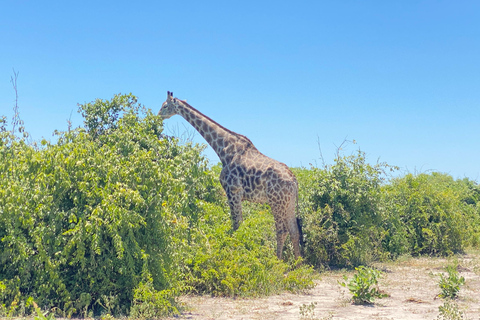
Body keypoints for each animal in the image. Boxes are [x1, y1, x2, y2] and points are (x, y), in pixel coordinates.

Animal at [159, 91, 302, 258]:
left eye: (165, 106)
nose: (158, 115)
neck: (223, 150)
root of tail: (294, 181)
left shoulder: (232, 191)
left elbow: (236, 225)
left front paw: (236, 251)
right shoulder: (236, 194)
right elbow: (240, 224)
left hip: (276, 202)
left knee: (282, 230)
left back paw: (278, 260)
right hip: (288, 203)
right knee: (294, 230)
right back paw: (298, 262)